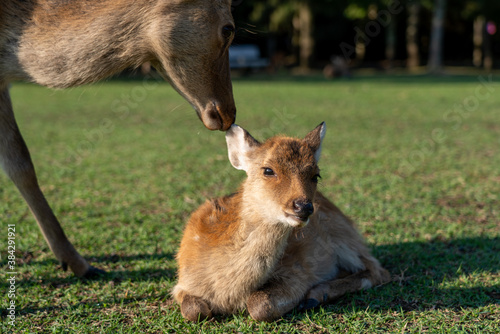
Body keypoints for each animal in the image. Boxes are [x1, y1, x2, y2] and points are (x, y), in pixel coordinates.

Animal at [175, 124, 390, 322]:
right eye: (268, 170)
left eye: (315, 175)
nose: (304, 206)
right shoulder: (181, 284)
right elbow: (193, 310)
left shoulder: (298, 273)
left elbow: (260, 305)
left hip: (343, 235)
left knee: (377, 270)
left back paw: (314, 296)